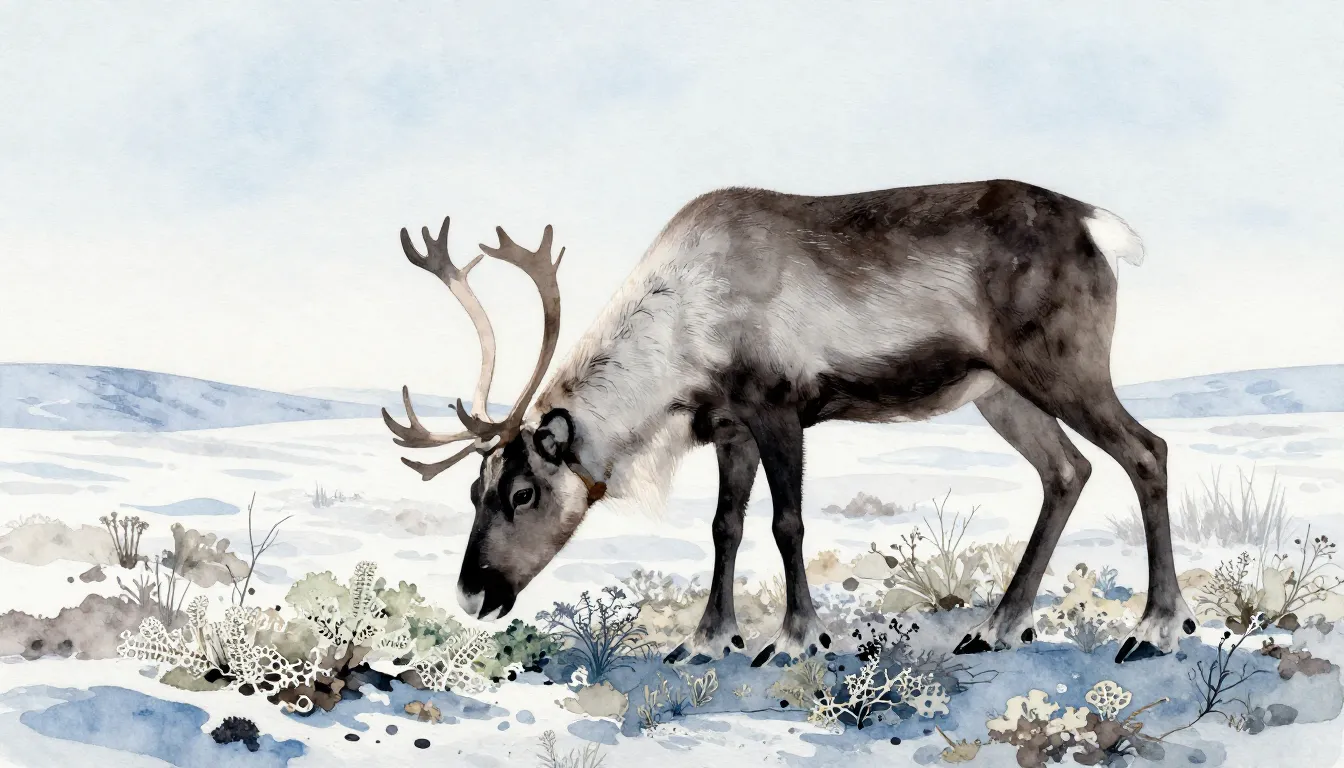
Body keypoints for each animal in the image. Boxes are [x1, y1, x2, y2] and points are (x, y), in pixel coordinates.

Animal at [382, 179, 1196, 667]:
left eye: (523, 493)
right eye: (472, 491)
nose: (472, 594)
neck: (684, 326)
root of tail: (1097, 226)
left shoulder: (778, 408)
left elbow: (787, 524)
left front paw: (797, 636)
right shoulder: (730, 427)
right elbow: (726, 527)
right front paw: (708, 639)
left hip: (1063, 369)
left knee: (1146, 451)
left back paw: (1155, 626)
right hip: (999, 391)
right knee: (1068, 470)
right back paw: (998, 625)